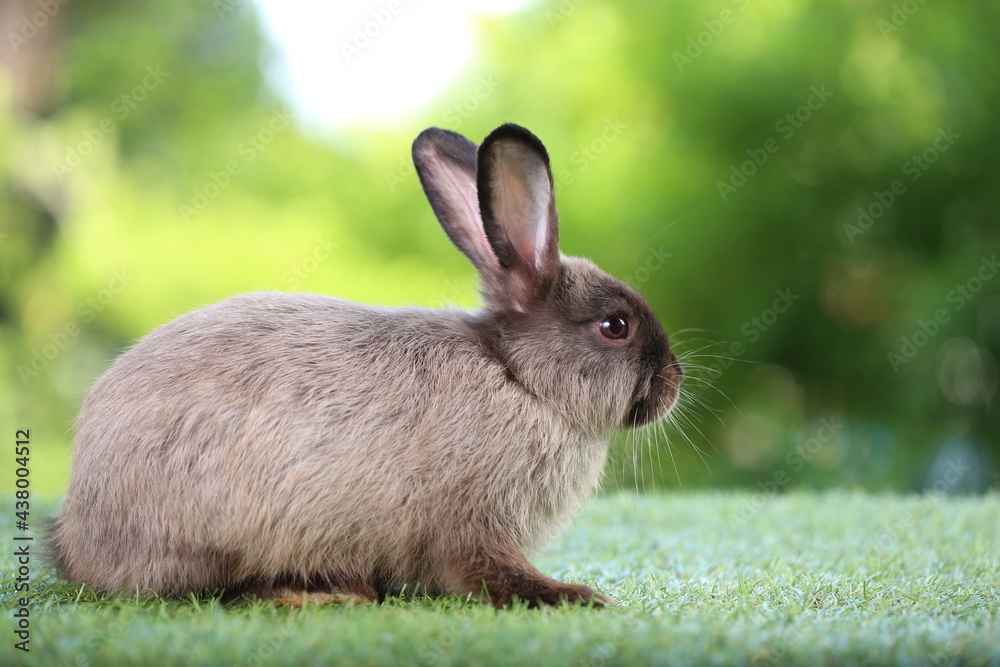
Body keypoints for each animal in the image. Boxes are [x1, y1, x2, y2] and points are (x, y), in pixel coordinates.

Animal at [48, 123, 683, 608]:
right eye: (616, 327)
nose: (676, 381)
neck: (518, 379)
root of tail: (78, 536)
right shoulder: (470, 523)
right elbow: (489, 572)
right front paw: (576, 596)